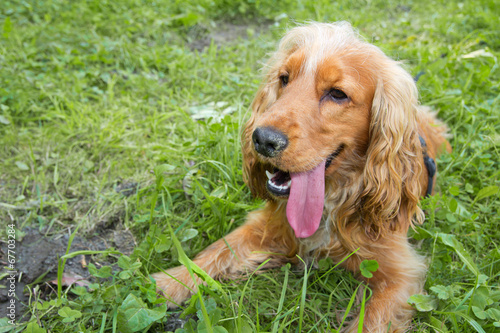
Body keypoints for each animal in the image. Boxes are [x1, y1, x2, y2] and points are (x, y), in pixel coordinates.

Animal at [151, 22, 450, 330]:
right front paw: (170, 281)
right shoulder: (269, 225)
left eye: (337, 94)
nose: (263, 139)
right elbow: (218, 249)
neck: (330, 202)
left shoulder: (401, 273)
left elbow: (371, 321)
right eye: (284, 78)